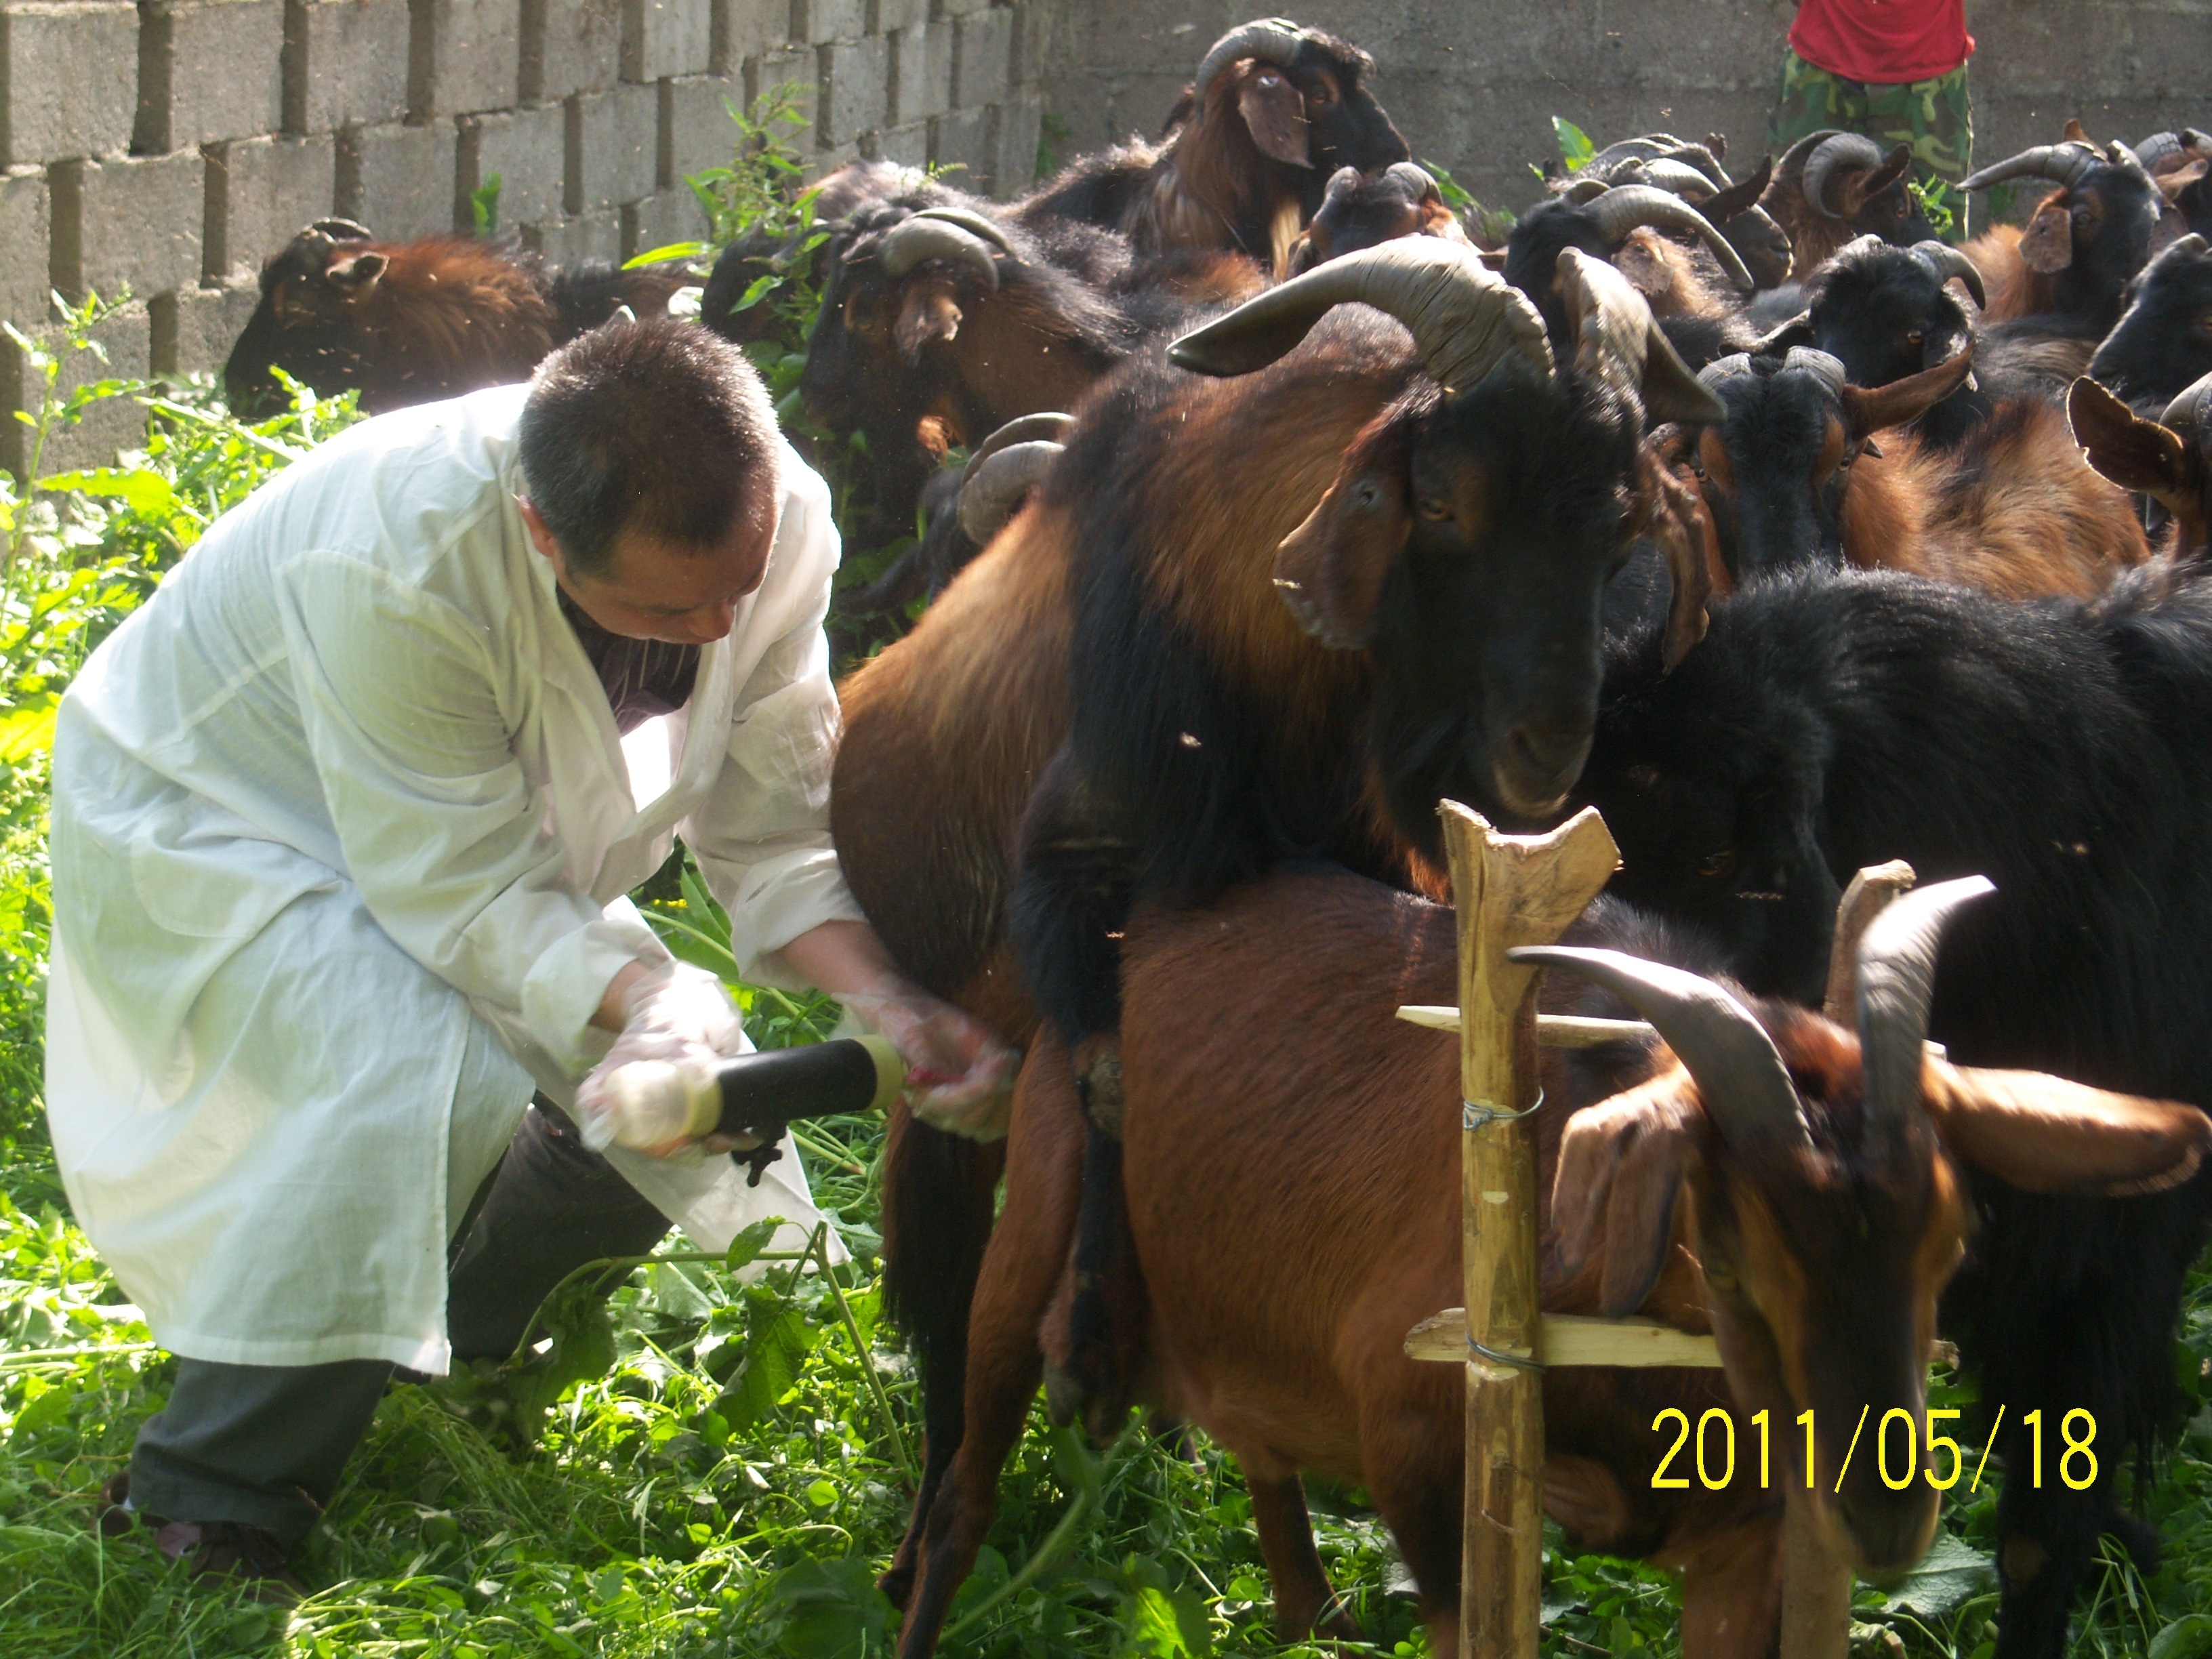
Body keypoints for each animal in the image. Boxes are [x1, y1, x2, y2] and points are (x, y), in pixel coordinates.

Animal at [884, 872, 2212, 1659]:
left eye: (1954, 1238)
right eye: (1727, 1246)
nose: (1882, 1517)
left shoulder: (1747, 1542)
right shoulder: (1417, 1453)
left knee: (1278, 1516)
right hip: (1034, 1226)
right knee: (963, 1492)